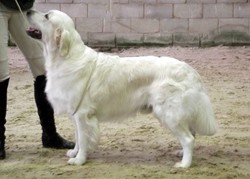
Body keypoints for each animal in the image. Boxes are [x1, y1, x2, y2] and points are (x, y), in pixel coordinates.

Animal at [25, 9, 217, 168]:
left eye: (46, 16)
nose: (28, 10)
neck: (65, 57)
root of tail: (191, 71)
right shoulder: (75, 113)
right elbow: (78, 137)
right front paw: (74, 152)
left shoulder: (82, 113)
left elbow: (84, 139)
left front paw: (79, 160)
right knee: (191, 134)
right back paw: (181, 154)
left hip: (168, 113)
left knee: (188, 138)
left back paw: (184, 164)